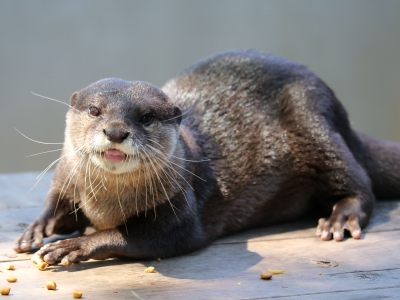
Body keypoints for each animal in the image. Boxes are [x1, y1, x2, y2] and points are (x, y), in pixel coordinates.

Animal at [14, 50, 400, 264]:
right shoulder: (66, 177)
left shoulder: (180, 210)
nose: (115, 131)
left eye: (145, 117)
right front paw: (38, 229)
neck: (106, 206)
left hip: (313, 122)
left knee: (357, 181)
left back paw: (339, 218)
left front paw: (73, 244)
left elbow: (140, 236)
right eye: (95, 110)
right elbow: (56, 202)